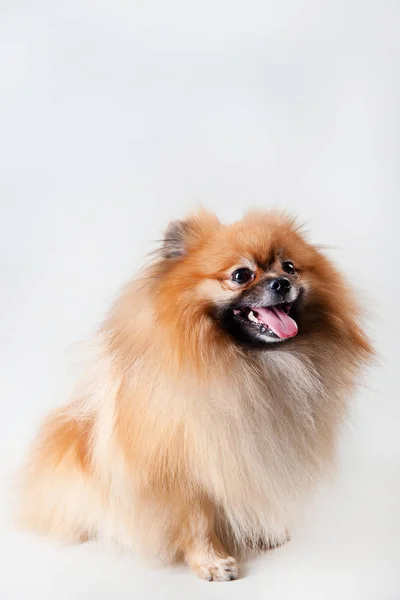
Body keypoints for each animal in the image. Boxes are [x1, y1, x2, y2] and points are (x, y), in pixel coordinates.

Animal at [18, 211, 372, 580]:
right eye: (241, 275)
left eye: (289, 267)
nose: (280, 283)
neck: (251, 367)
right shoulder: (179, 473)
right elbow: (197, 520)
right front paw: (212, 561)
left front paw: (262, 532)